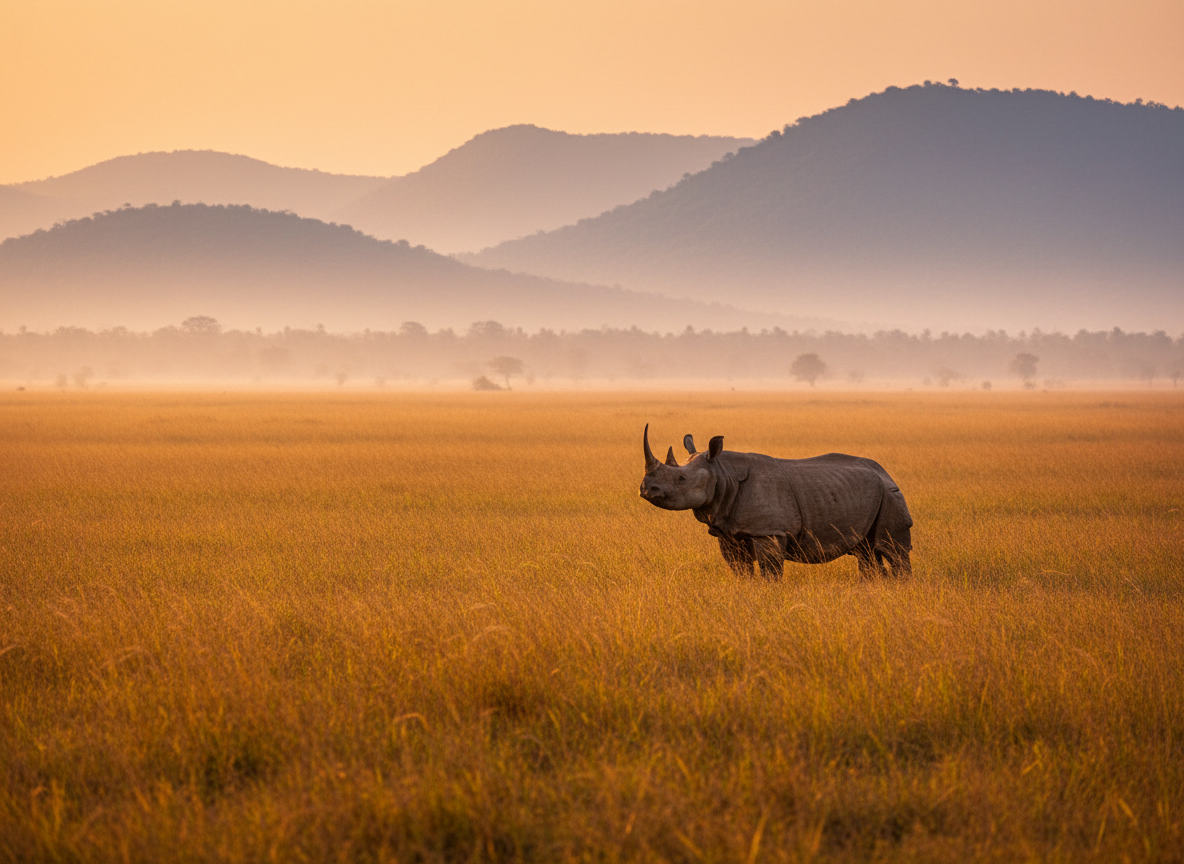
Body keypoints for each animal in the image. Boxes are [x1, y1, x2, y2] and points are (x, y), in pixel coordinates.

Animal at [638, 425, 912, 579]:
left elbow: (770, 571)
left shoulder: (768, 531)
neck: (722, 473)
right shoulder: (728, 532)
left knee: (893, 549)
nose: (645, 489)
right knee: (866, 552)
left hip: (890, 494)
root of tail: (885, 472)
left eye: (680, 478)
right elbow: (740, 570)